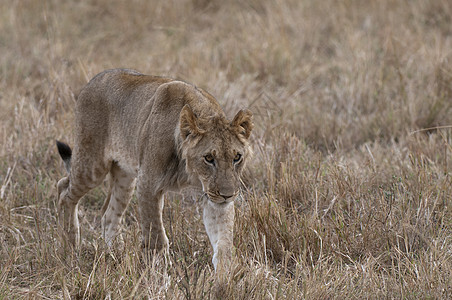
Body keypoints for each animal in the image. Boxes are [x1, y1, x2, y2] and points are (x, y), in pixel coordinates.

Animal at [56, 69, 252, 270]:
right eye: (209, 158)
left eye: (237, 157)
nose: (228, 195)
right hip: (92, 165)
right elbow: (156, 236)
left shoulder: (214, 198)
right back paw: (71, 246)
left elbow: (223, 241)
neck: (189, 171)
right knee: (64, 189)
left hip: (125, 177)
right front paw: (161, 272)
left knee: (108, 214)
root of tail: (93, 80)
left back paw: (114, 254)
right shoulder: (148, 184)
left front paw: (226, 274)